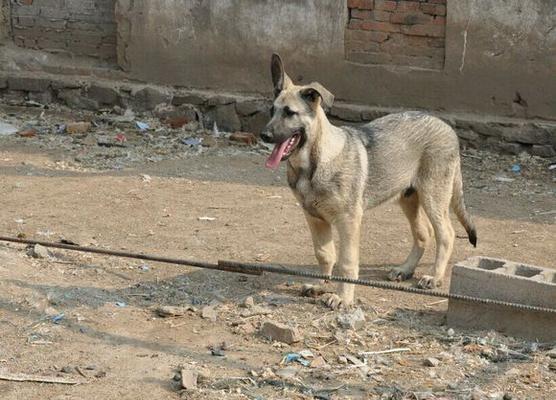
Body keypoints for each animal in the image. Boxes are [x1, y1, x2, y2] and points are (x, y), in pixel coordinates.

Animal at [262, 54, 478, 310]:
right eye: (272, 110)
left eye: (289, 113)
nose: (264, 135)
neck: (315, 163)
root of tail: (446, 127)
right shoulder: (314, 218)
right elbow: (324, 253)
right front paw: (320, 285)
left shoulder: (349, 220)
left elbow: (346, 262)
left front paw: (342, 297)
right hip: (408, 197)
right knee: (423, 233)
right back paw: (405, 269)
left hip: (433, 196)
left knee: (446, 233)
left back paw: (434, 277)